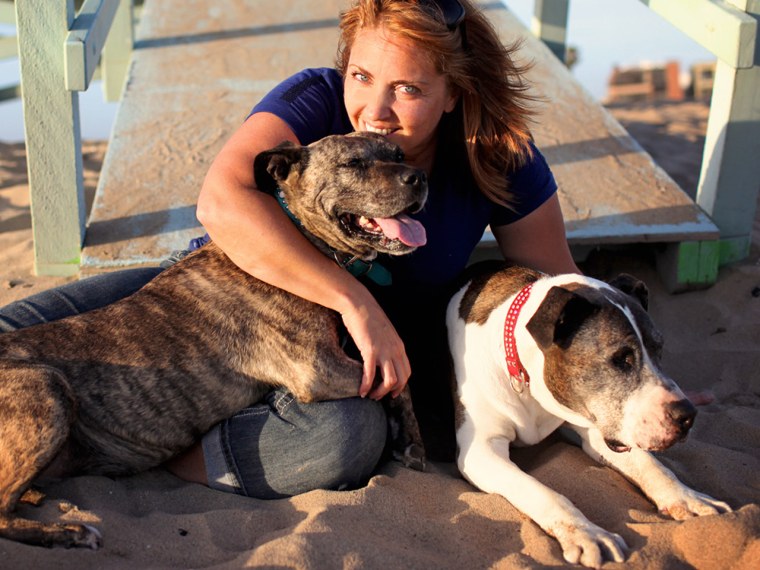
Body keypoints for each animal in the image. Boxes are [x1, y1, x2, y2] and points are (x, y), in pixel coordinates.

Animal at [0, 132, 428, 544]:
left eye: (398, 153)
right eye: (353, 163)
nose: (419, 177)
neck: (302, 239)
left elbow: (401, 386)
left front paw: (411, 442)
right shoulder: (318, 369)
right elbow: (401, 381)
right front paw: (411, 438)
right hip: (47, 387)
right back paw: (67, 533)